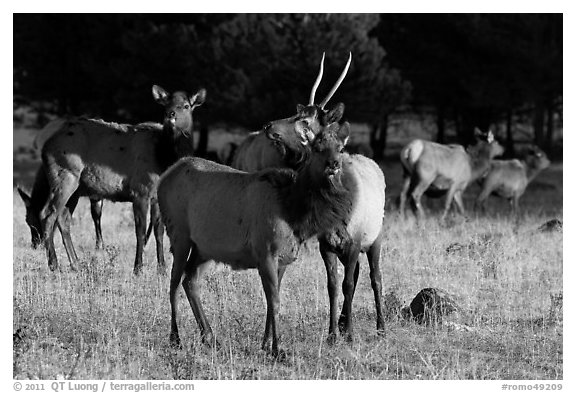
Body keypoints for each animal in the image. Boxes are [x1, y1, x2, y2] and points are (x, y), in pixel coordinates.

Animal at [159, 120, 356, 356]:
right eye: (317, 148)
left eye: (341, 149)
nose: (333, 164)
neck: (294, 212)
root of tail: (163, 177)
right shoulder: (266, 252)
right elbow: (275, 301)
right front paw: (278, 349)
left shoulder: (283, 258)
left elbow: (272, 302)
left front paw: (265, 344)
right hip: (179, 234)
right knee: (173, 282)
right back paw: (175, 337)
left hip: (204, 248)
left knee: (190, 279)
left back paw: (210, 337)